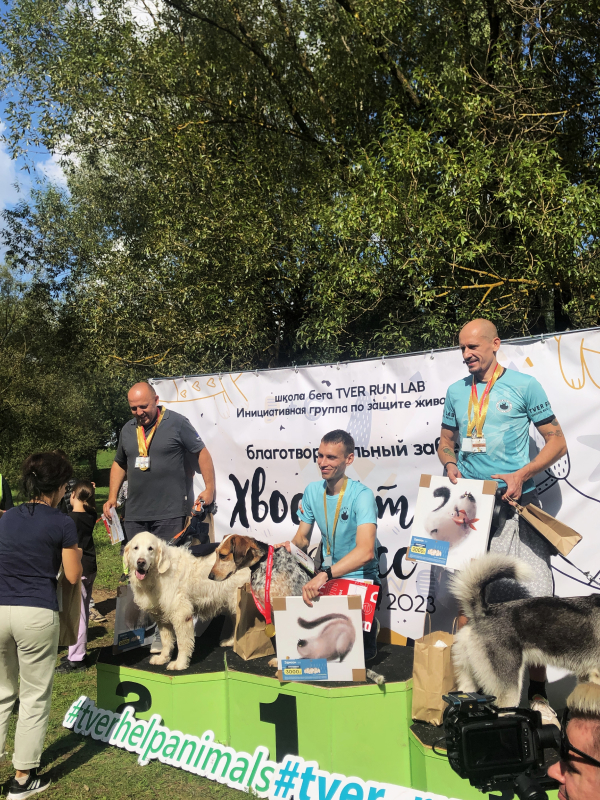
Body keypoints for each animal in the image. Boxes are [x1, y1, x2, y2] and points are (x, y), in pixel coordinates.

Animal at [124, 532, 250, 670]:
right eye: (136, 548)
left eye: (150, 548)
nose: (141, 562)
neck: (158, 574)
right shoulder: (162, 616)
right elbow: (166, 641)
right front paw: (163, 658)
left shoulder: (181, 615)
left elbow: (182, 643)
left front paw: (180, 663)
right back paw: (231, 642)